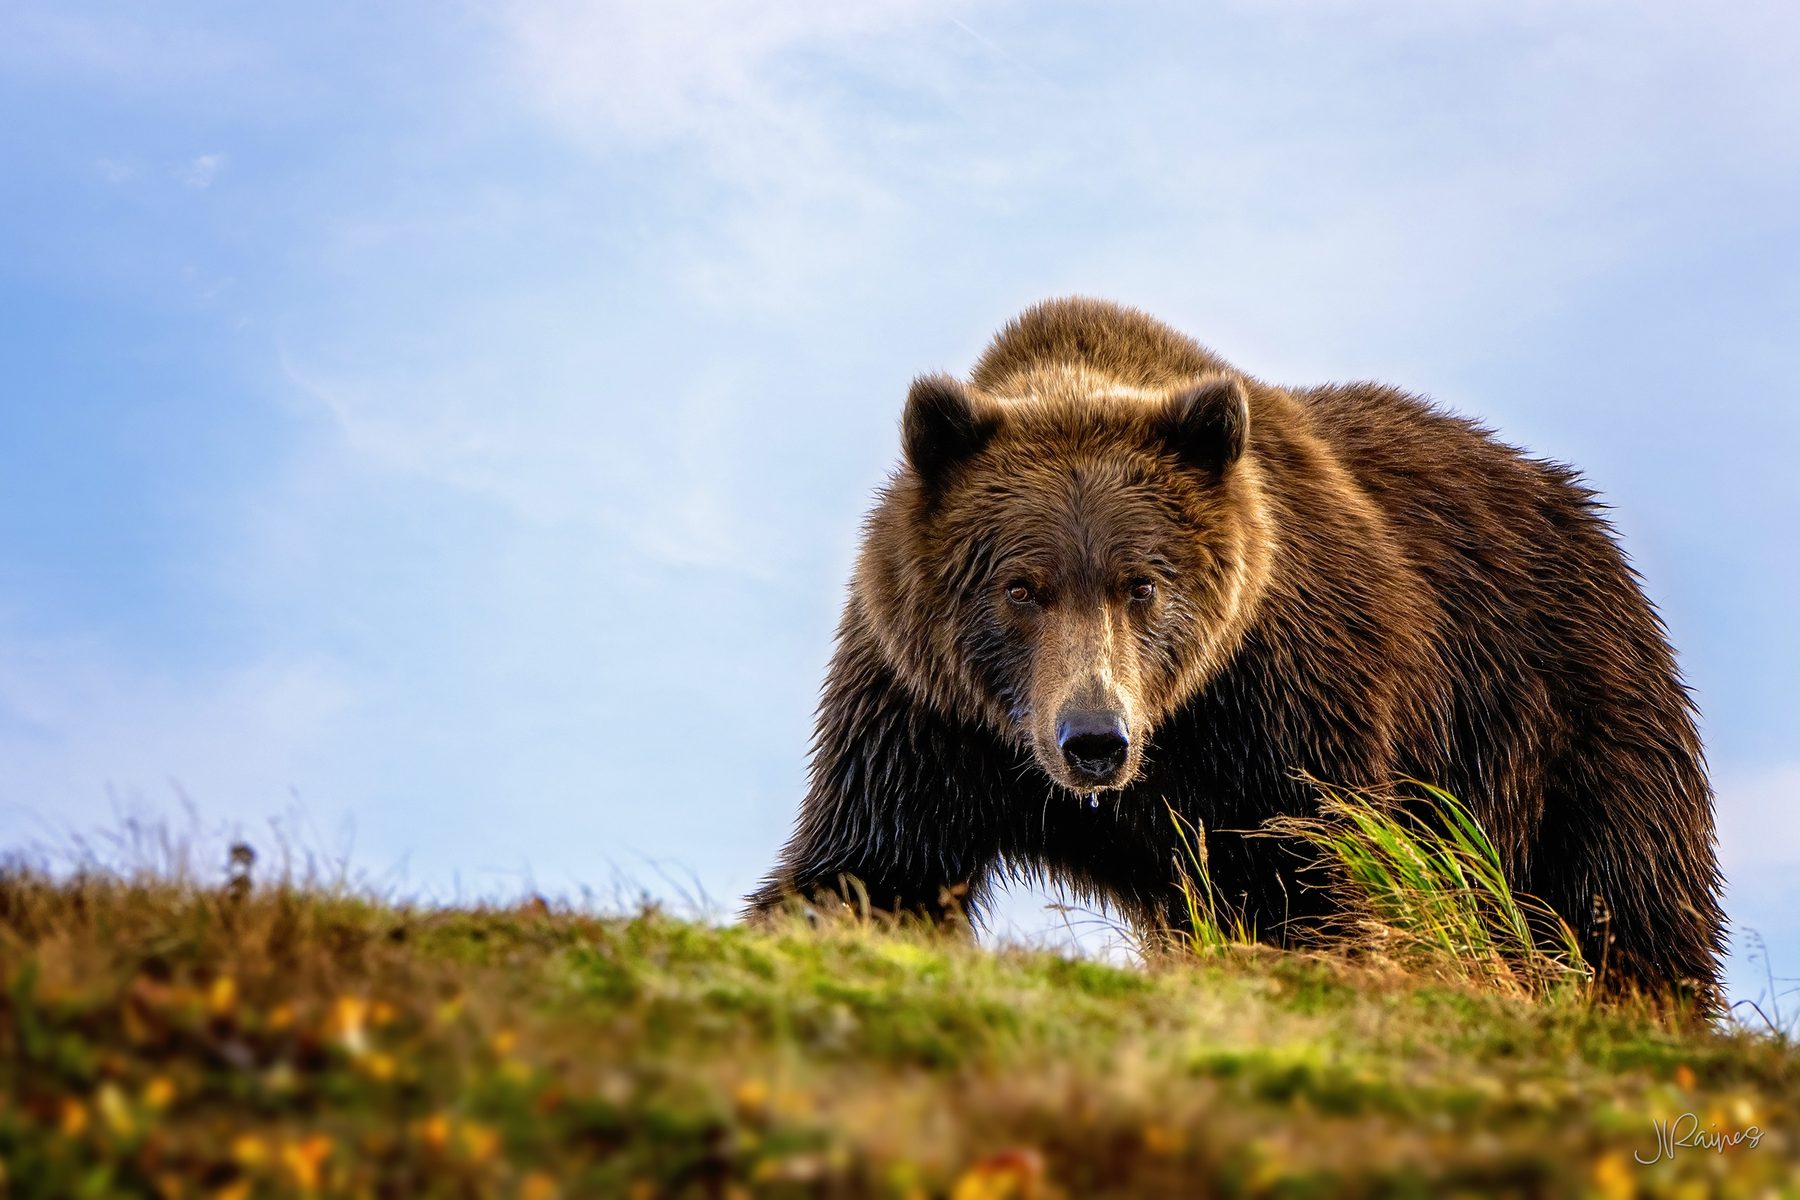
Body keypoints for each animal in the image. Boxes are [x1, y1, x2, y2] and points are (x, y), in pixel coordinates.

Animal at [747, 296, 1724, 1005]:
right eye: (1020, 587)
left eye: (1143, 583)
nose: (1094, 739)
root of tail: (1579, 510)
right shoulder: (924, 707)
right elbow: (871, 866)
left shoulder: (1286, 702)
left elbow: (1311, 880)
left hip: (1563, 706)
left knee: (1621, 896)